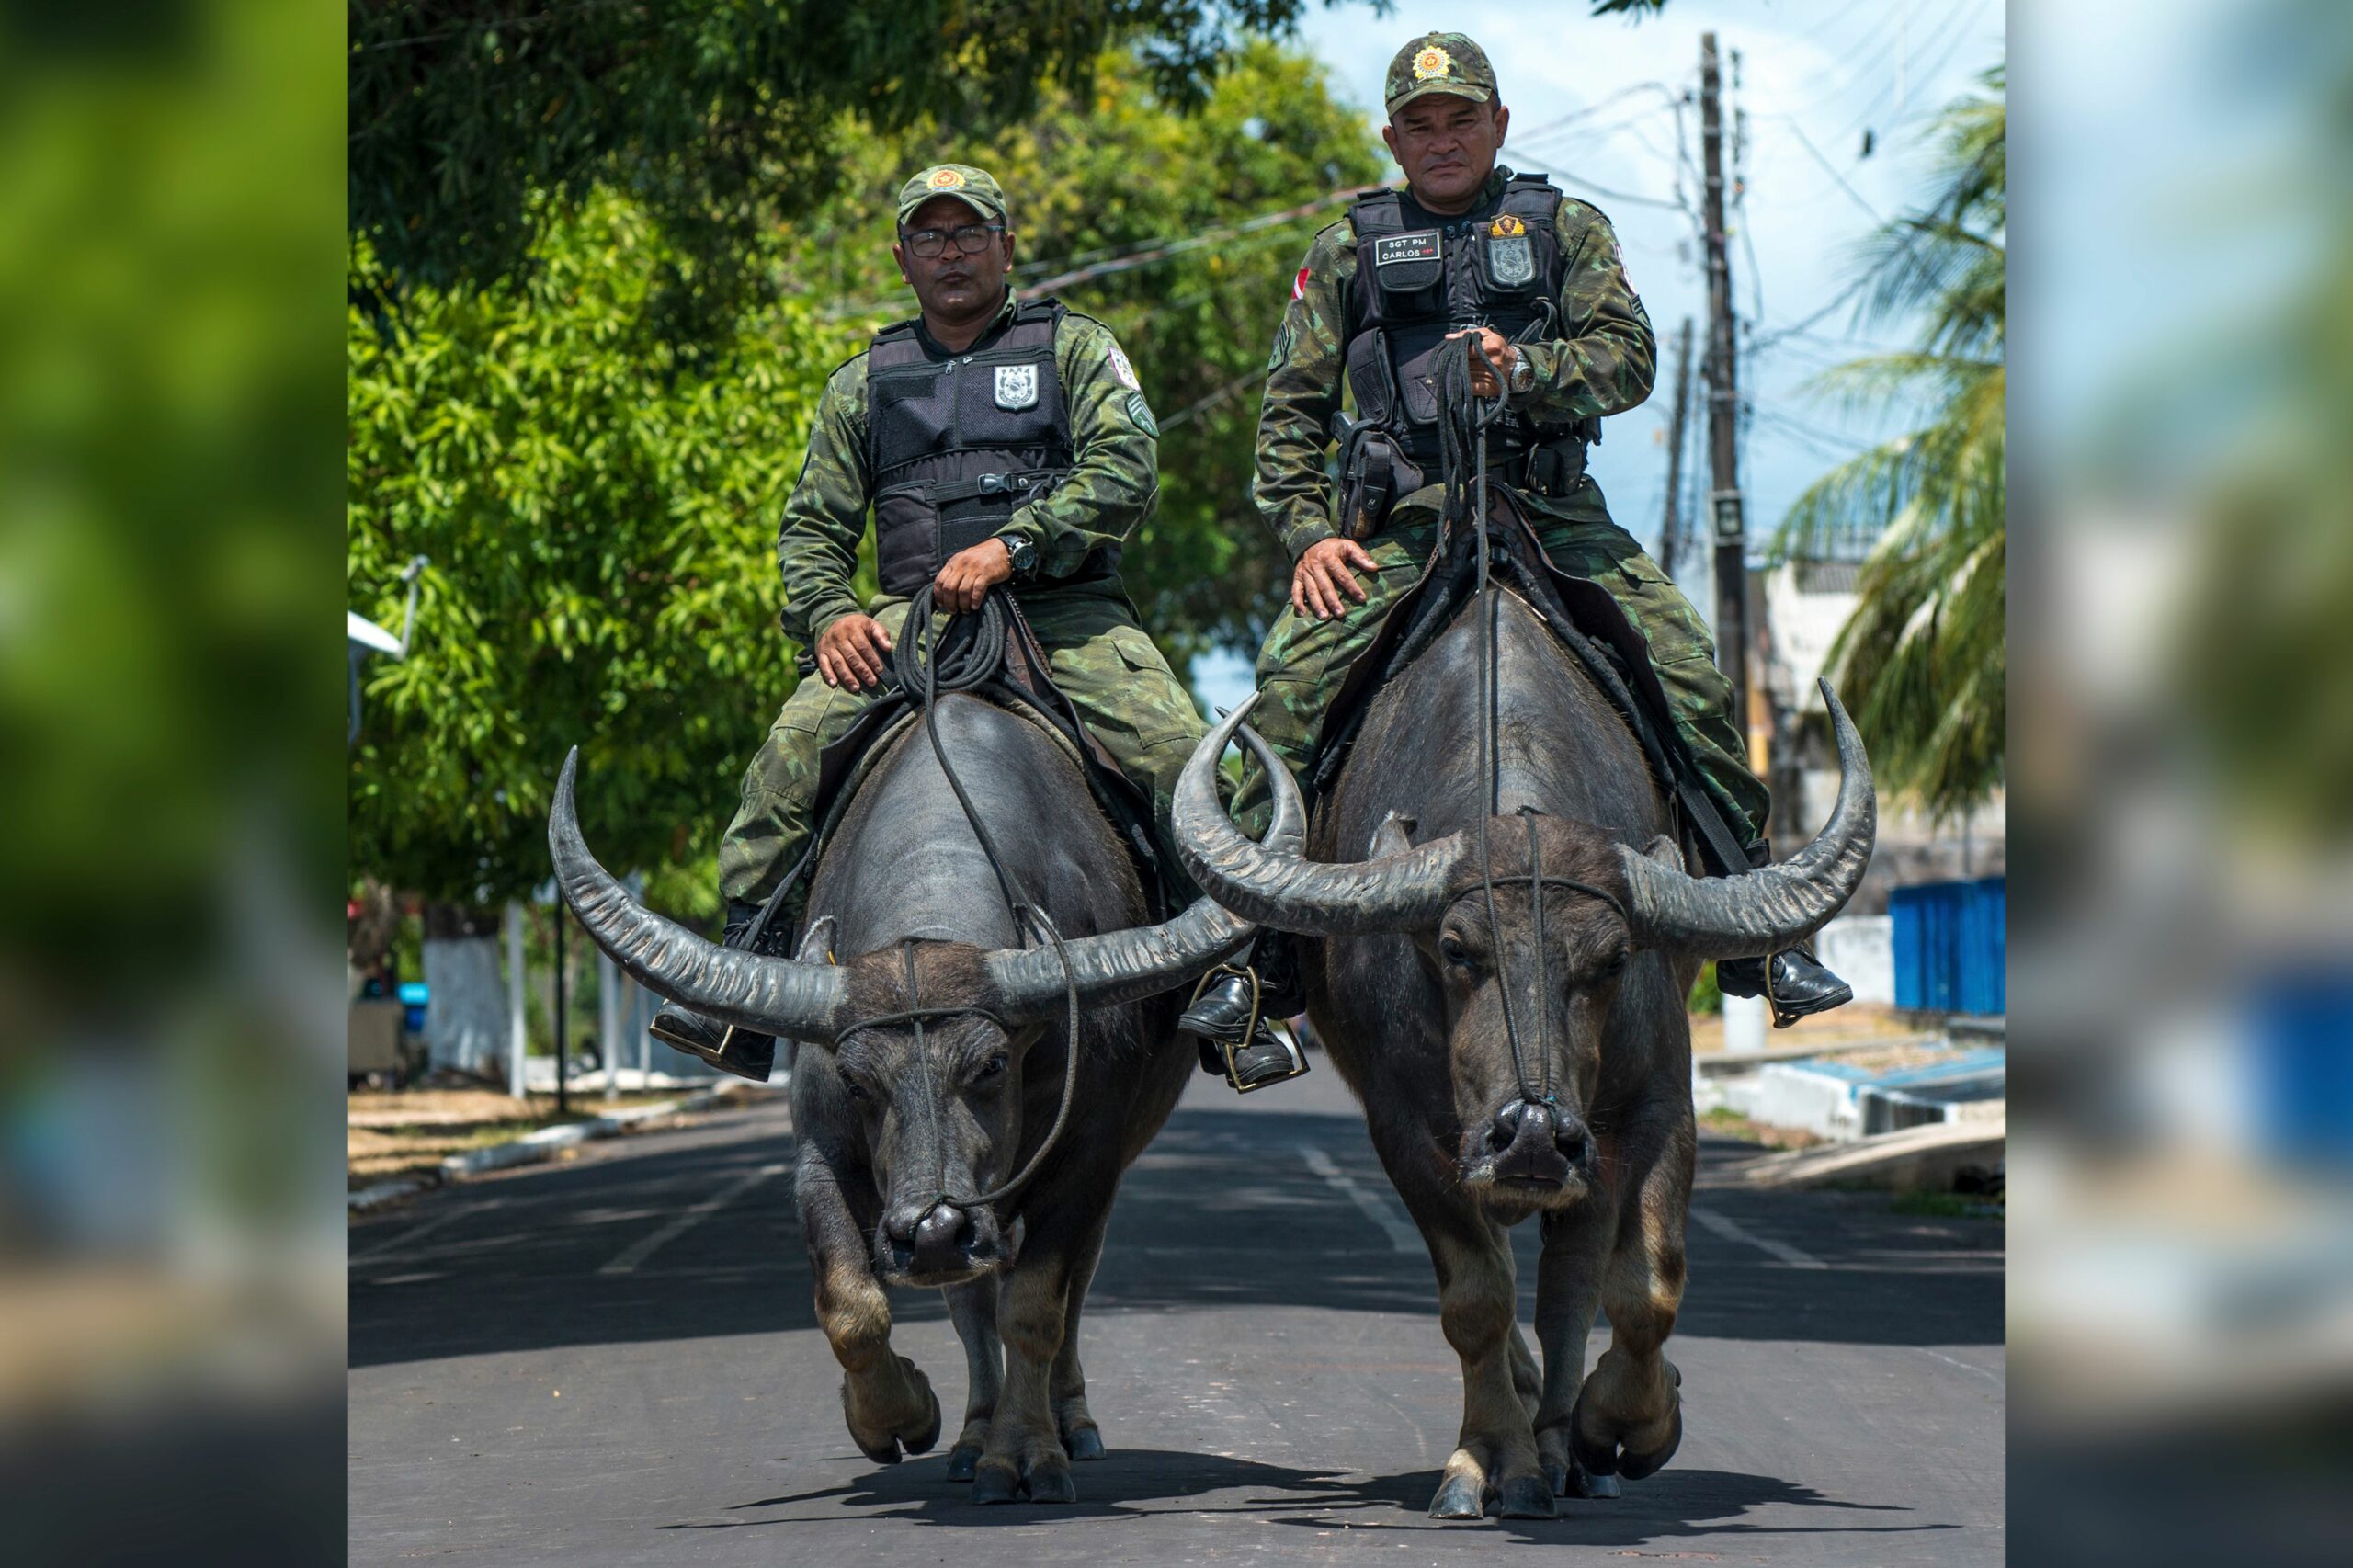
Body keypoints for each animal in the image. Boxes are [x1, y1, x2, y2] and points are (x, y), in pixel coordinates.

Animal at [551, 697, 1308, 1506]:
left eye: (993, 1063)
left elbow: (1035, 1308)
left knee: (1066, 1292)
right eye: (857, 1082)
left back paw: (1067, 1423)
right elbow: (851, 1306)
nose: (935, 1231)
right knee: (969, 1304)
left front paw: (1028, 1454)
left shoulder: (1088, 1160)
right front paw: (899, 1417)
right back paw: (973, 1437)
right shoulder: (821, 1153)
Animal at [1176, 585, 1872, 1516]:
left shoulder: (1650, 1107)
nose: (1534, 1136)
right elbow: (1476, 1297)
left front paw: (1622, 1428)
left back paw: (1570, 1442)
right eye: (1456, 948)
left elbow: (1642, 1288)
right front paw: (1491, 1462)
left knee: (1571, 1283)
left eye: (1613, 959)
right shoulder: (1410, 1130)